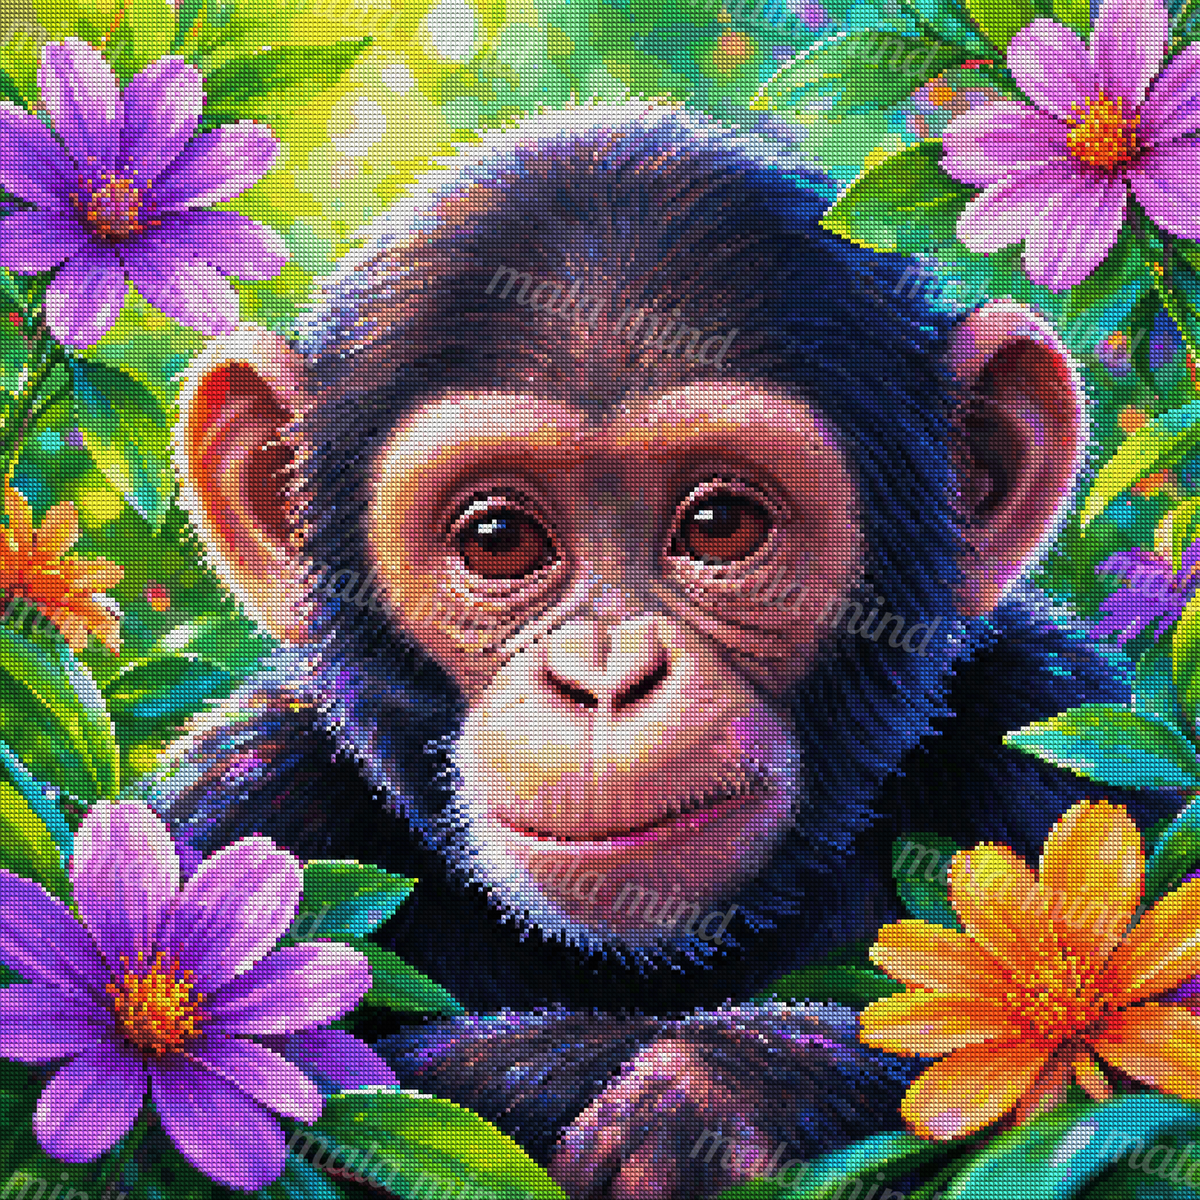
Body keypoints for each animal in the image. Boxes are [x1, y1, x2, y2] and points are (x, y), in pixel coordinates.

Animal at [146, 99, 1181, 1198]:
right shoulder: (238, 801)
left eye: (721, 525)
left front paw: (719, 1092)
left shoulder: (1056, 732)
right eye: (497, 539)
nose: (606, 675)